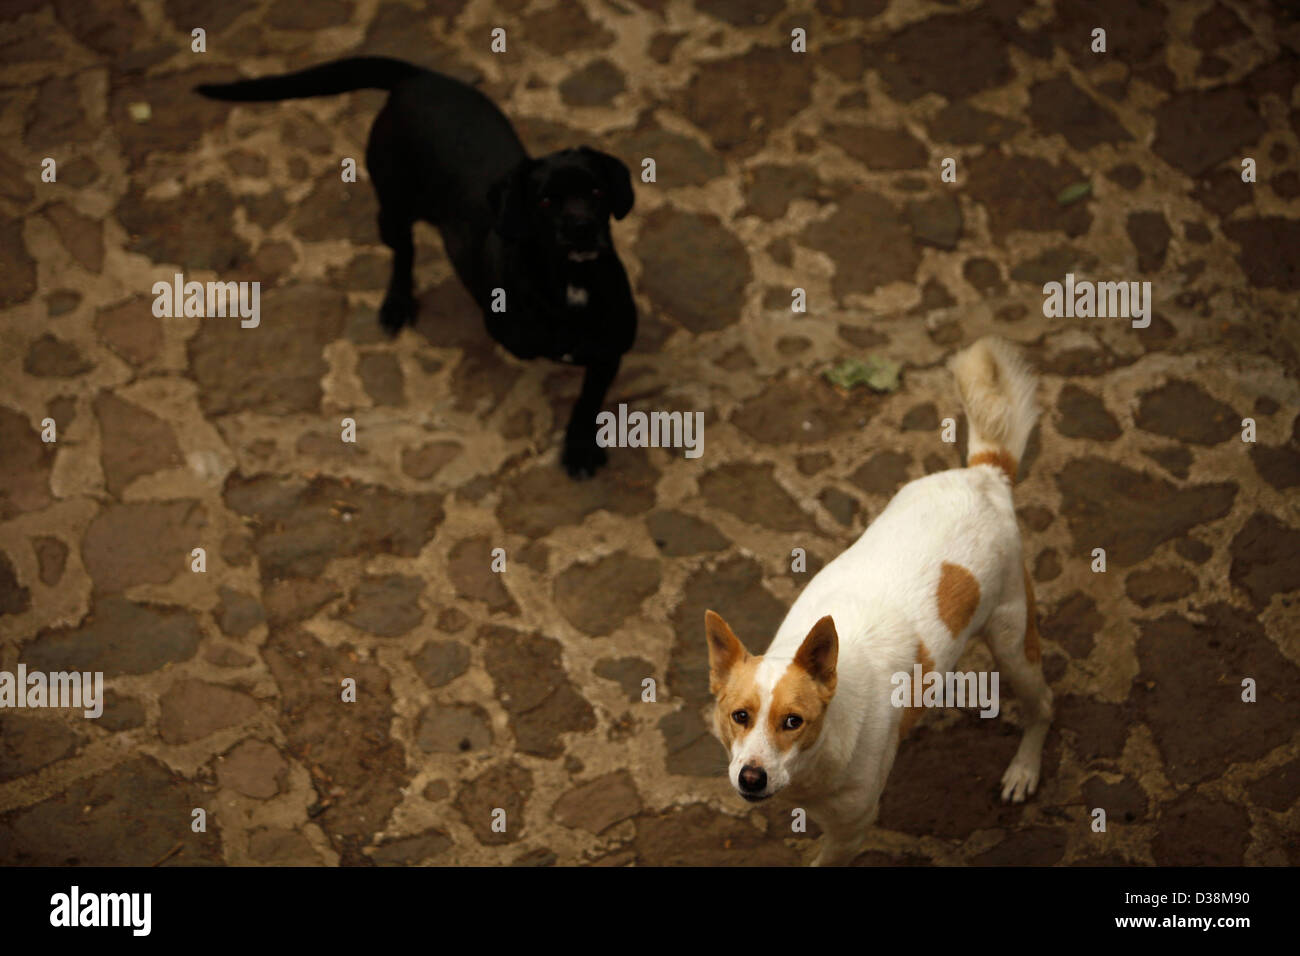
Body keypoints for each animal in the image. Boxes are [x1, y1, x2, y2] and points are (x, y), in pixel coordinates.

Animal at [195, 56, 637, 478]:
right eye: (545, 201)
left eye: (596, 191)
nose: (582, 227)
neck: (572, 280)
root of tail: (416, 77)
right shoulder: (516, 333)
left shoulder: (608, 351)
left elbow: (587, 401)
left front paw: (579, 449)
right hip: (391, 207)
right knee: (403, 252)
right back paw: (397, 304)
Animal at [707, 335, 1050, 868]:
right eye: (739, 716)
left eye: (793, 722)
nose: (752, 778)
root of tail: (985, 475)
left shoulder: (851, 831)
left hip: (1014, 645)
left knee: (1043, 707)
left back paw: (1024, 770)